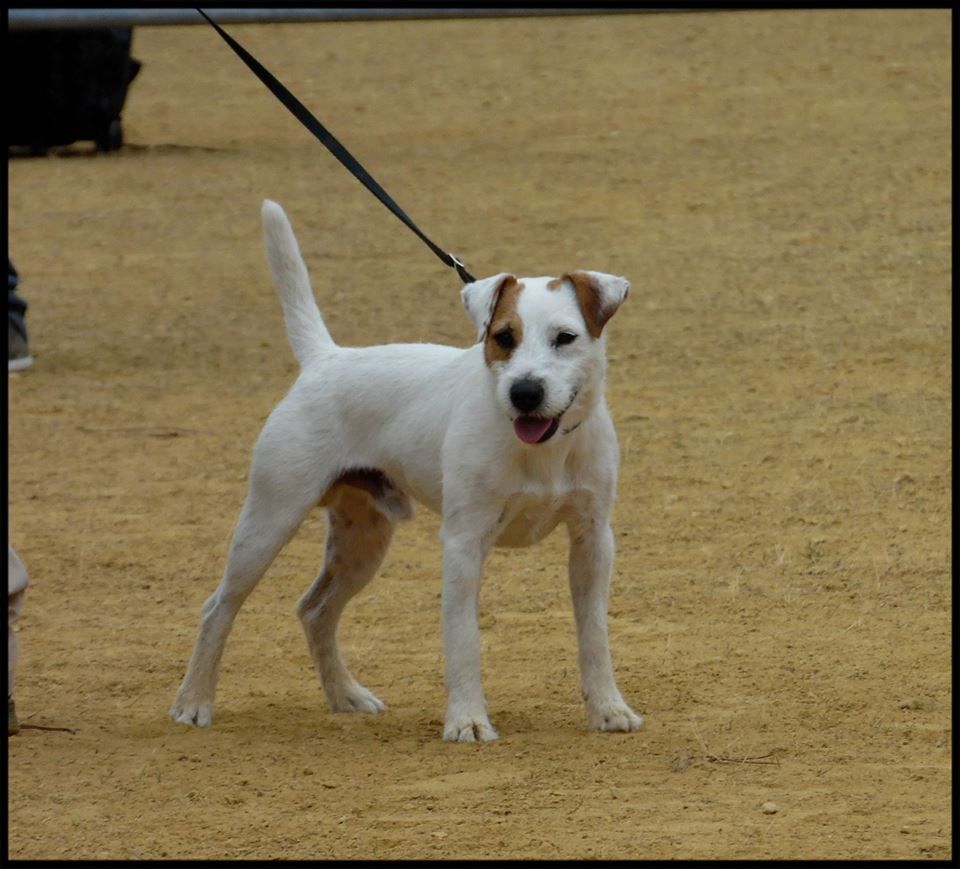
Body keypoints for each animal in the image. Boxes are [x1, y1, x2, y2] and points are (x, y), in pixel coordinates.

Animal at [169, 200, 640, 744]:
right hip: (267, 523)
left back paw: (346, 696)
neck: (544, 451)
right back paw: (193, 703)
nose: (524, 393)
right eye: (503, 338)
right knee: (217, 608)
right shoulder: (463, 543)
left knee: (315, 609)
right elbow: (463, 641)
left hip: (362, 540)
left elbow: (595, 635)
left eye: (565, 338)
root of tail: (325, 359)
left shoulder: (592, 540)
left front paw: (608, 709)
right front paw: (467, 720)